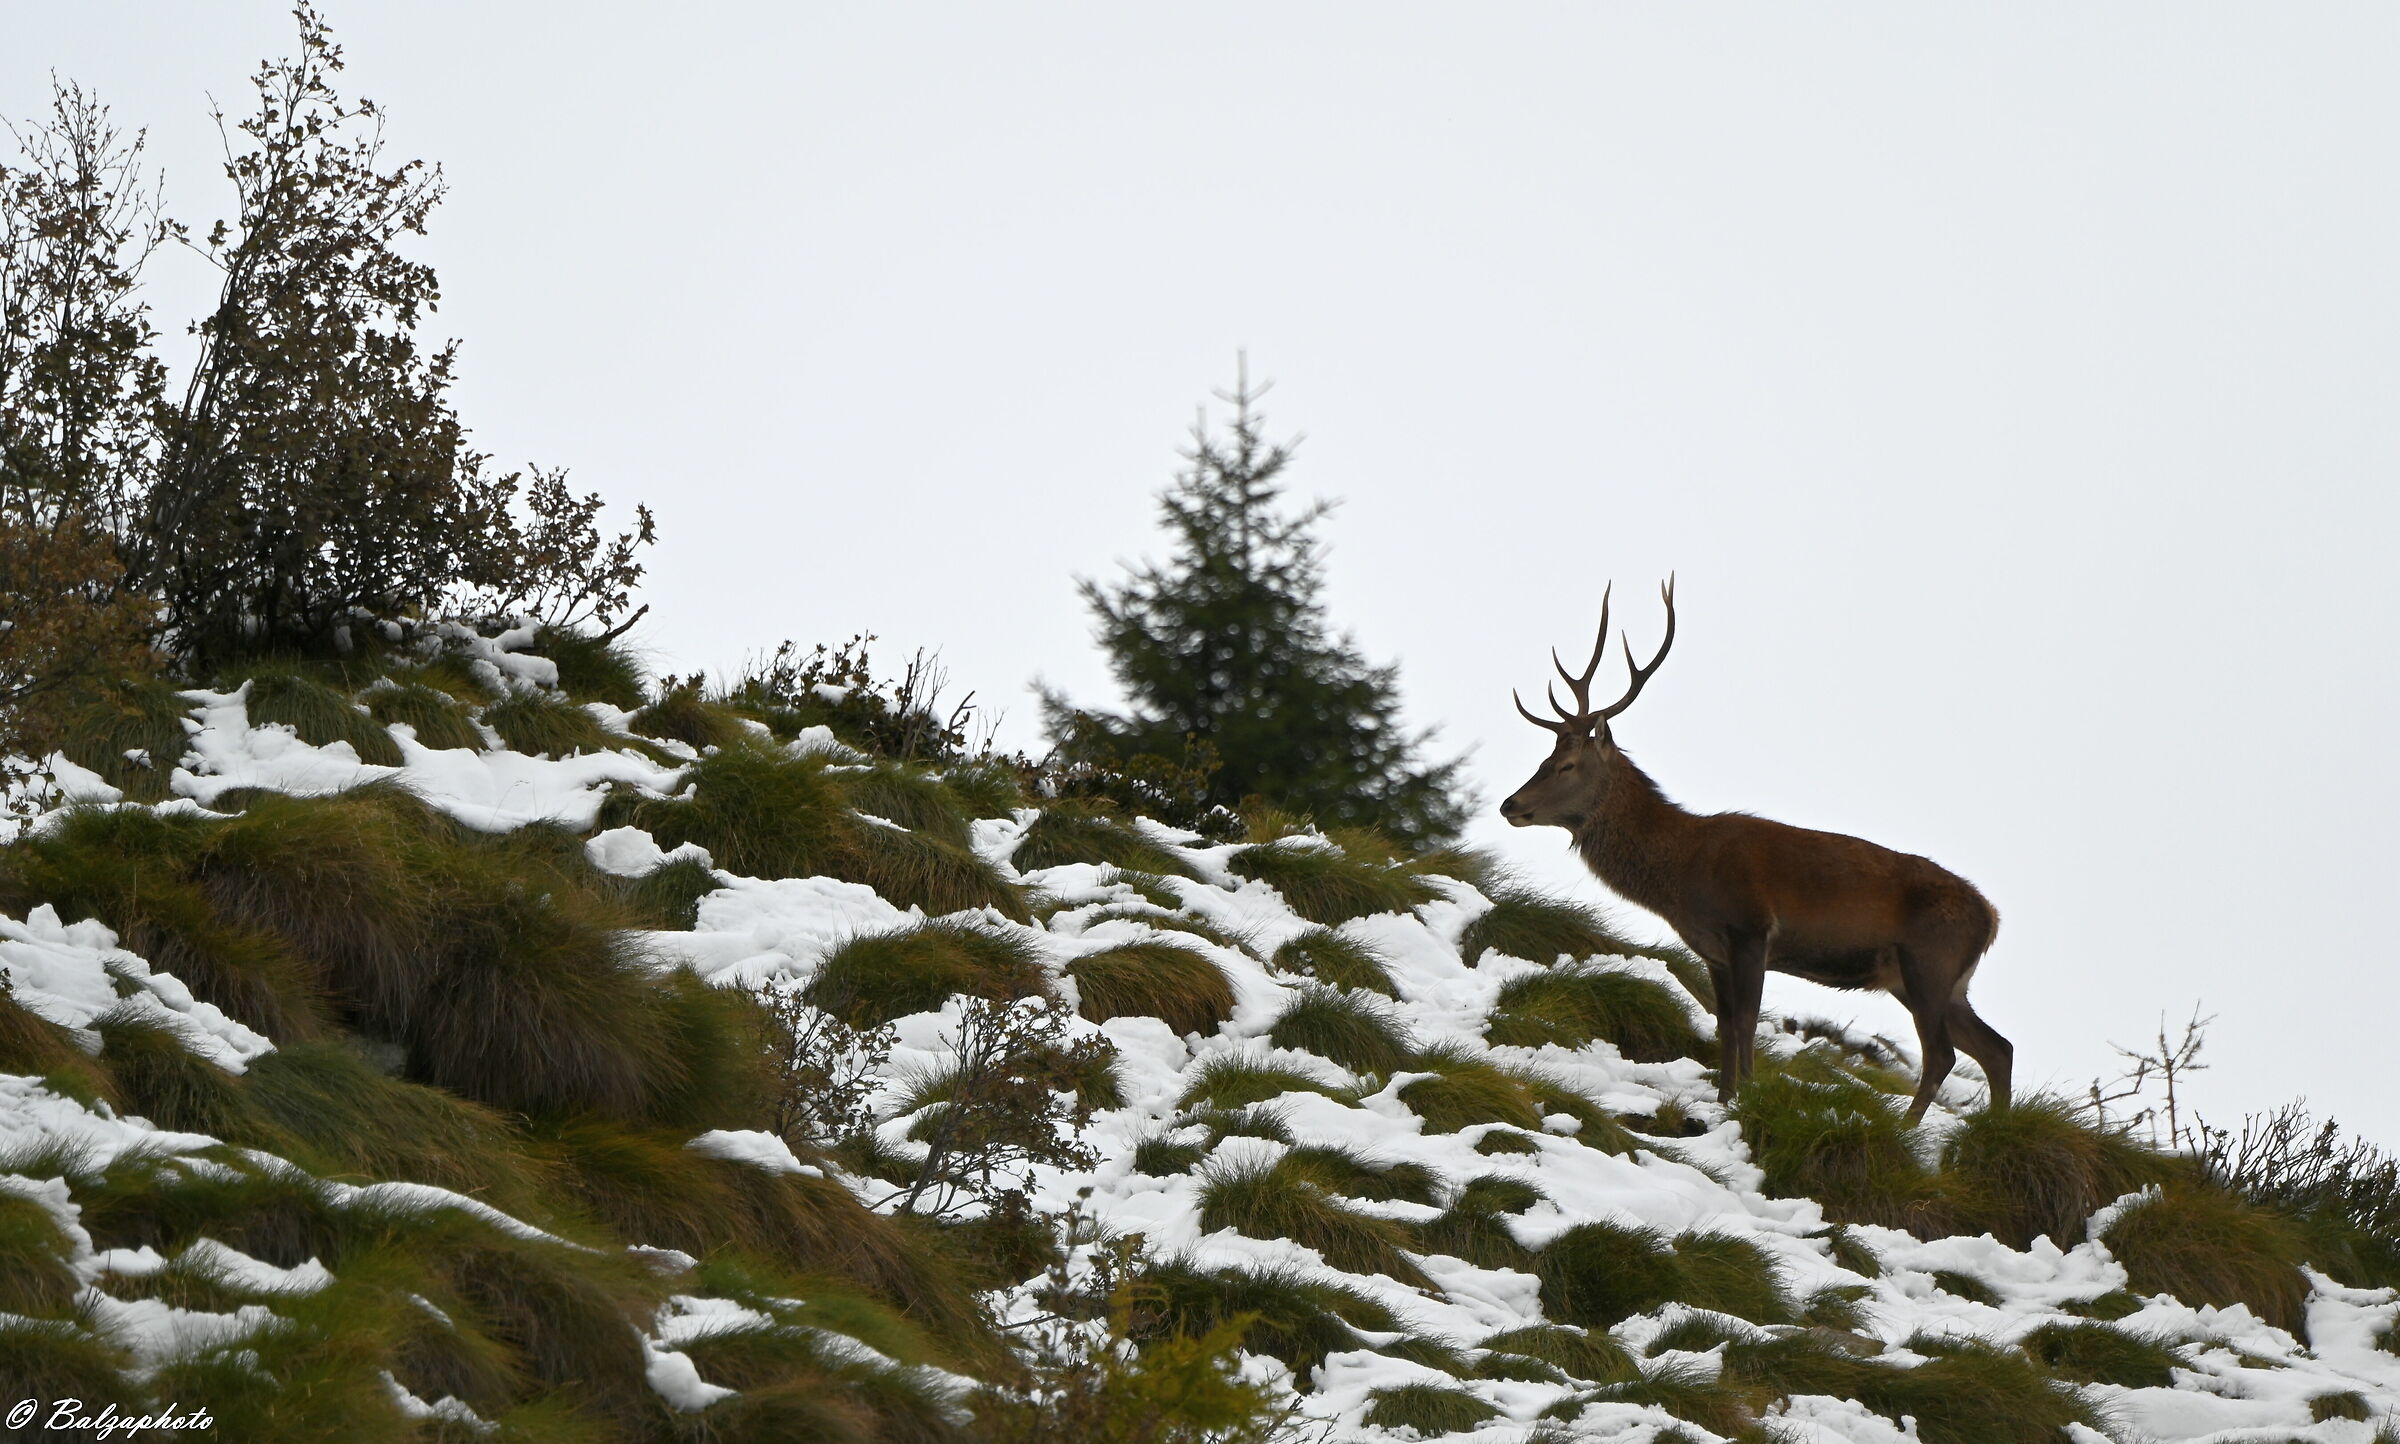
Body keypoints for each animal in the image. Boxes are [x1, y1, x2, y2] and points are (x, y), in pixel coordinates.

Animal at [1499, 579, 2011, 1124]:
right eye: (1545, 757)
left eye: (1567, 765)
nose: (1511, 804)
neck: (1682, 873)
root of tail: (1992, 918)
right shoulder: (1712, 949)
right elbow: (1724, 1023)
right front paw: (1726, 1097)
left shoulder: (1751, 929)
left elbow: (1746, 1020)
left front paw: (1746, 1096)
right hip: (1938, 980)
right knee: (1997, 1048)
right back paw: (1998, 1129)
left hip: (1929, 962)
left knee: (1943, 1054)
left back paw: (1909, 1129)